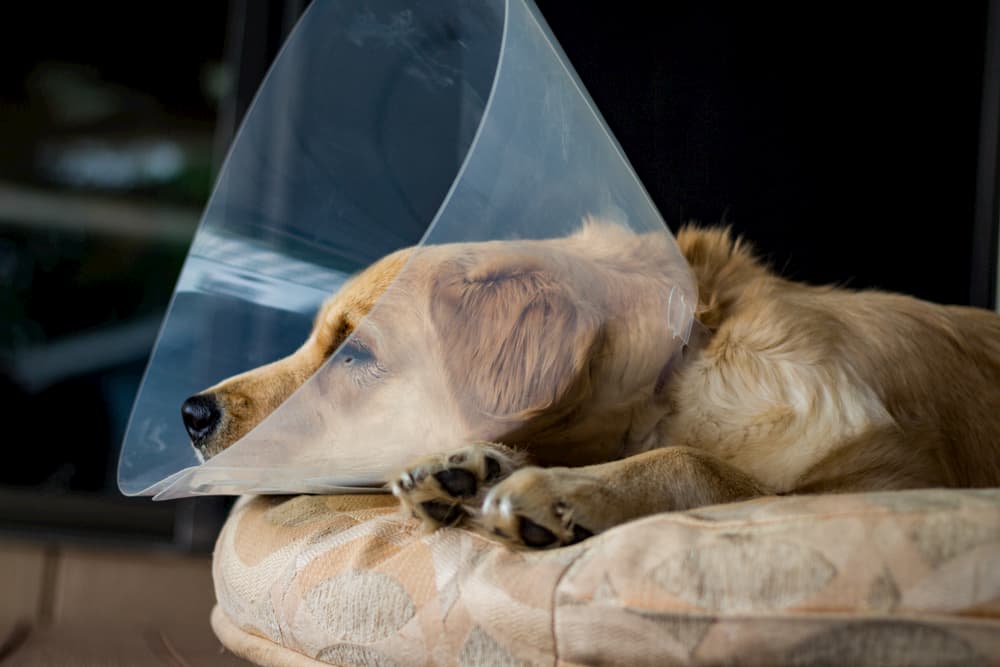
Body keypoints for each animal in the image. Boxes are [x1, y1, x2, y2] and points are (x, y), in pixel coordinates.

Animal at [180, 220, 1000, 548]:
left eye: (352, 352)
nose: (191, 411)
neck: (676, 372)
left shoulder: (892, 478)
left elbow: (695, 461)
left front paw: (557, 490)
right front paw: (472, 468)